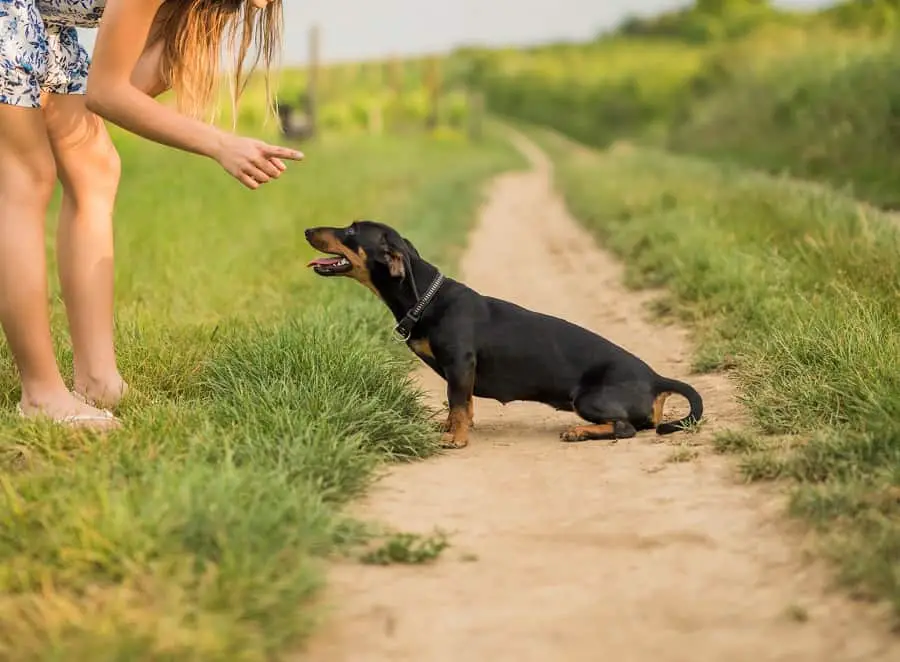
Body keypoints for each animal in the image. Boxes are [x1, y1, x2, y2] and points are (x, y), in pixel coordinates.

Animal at [308, 220, 704, 448]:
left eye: (351, 231)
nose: (307, 231)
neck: (427, 298)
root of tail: (655, 378)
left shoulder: (460, 364)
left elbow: (458, 404)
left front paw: (457, 439)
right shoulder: (459, 373)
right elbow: (460, 407)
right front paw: (450, 430)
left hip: (588, 399)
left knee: (626, 429)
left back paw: (579, 433)